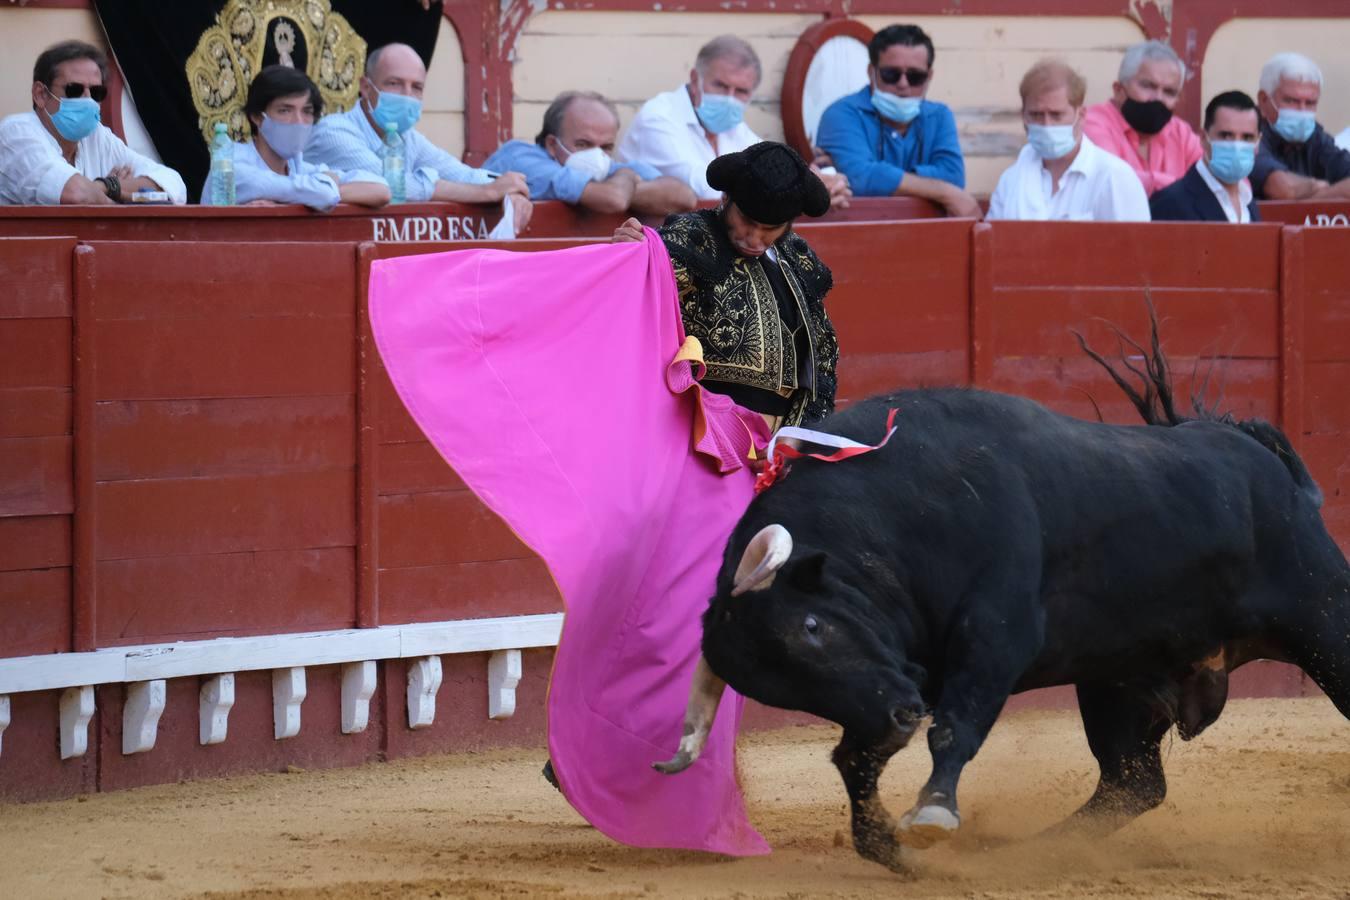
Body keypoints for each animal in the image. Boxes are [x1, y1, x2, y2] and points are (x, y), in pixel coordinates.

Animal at [656, 383, 1350, 874]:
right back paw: (1038, 851)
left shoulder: (996, 634)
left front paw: (932, 814)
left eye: (811, 626)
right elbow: (854, 761)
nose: (898, 718)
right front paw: (891, 847)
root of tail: (1276, 469)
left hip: (1323, 619)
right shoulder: (895, 678)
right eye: (784, 691)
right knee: (1132, 783)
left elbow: (955, 727)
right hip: (1117, 681)